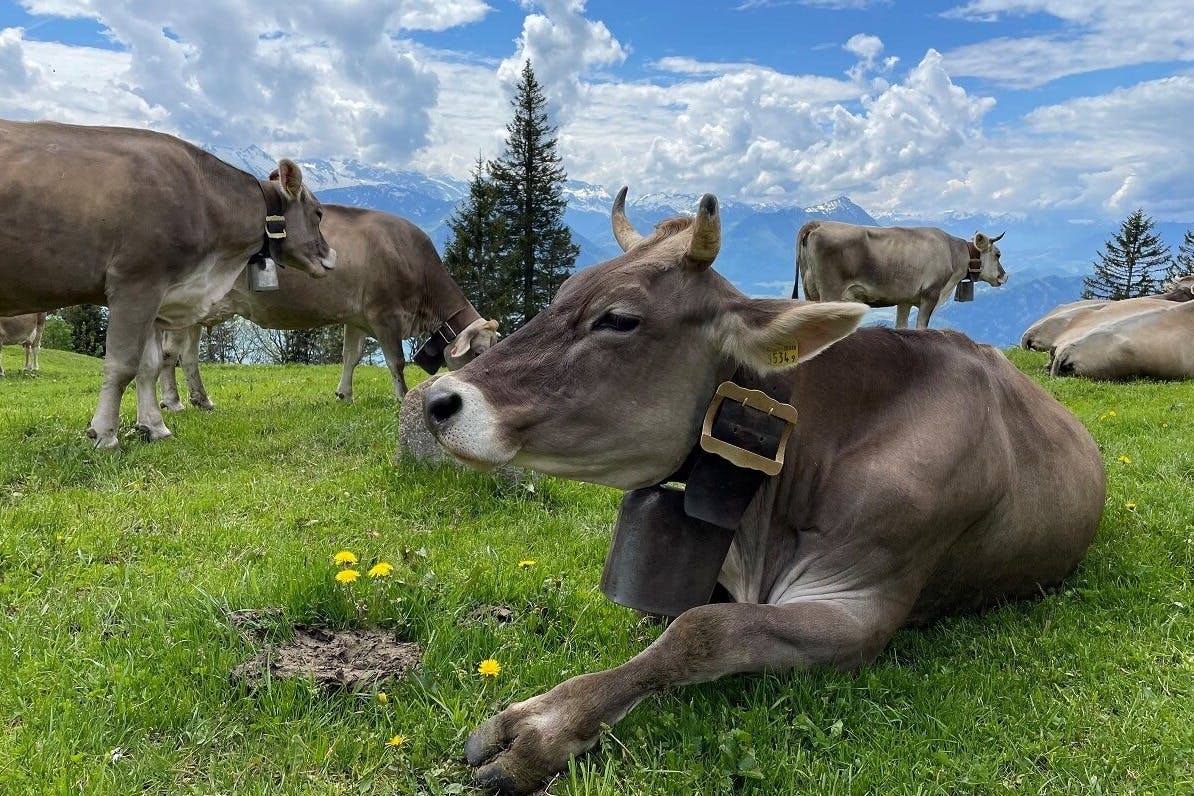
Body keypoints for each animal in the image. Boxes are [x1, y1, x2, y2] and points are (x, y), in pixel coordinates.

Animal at [0, 120, 335, 448]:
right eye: (318, 213)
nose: (332, 255)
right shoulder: (137, 283)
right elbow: (122, 365)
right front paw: (105, 434)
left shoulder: (158, 296)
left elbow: (149, 365)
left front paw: (153, 426)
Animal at [158, 204, 499, 411]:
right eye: (479, 352)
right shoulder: (384, 314)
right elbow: (396, 361)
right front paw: (403, 398)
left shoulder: (357, 318)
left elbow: (351, 356)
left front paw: (344, 394)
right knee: (170, 353)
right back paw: (173, 402)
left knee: (188, 357)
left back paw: (201, 401)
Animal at [795, 220, 1008, 328]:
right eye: (998, 254)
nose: (1004, 276)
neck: (952, 252)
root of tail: (818, 224)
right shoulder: (930, 294)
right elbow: (922, 327)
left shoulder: (905, 300)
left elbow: (902, 326)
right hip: (830, 292)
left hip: (810, 292)